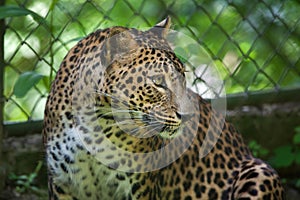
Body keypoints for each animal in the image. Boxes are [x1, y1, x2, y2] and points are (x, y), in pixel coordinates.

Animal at [43, 17, 284, 200]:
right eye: (158, 82)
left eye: (182, 77)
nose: (188, 116)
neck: (95, 124)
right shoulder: (61, 185)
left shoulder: (141, 188)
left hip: (261, 172)